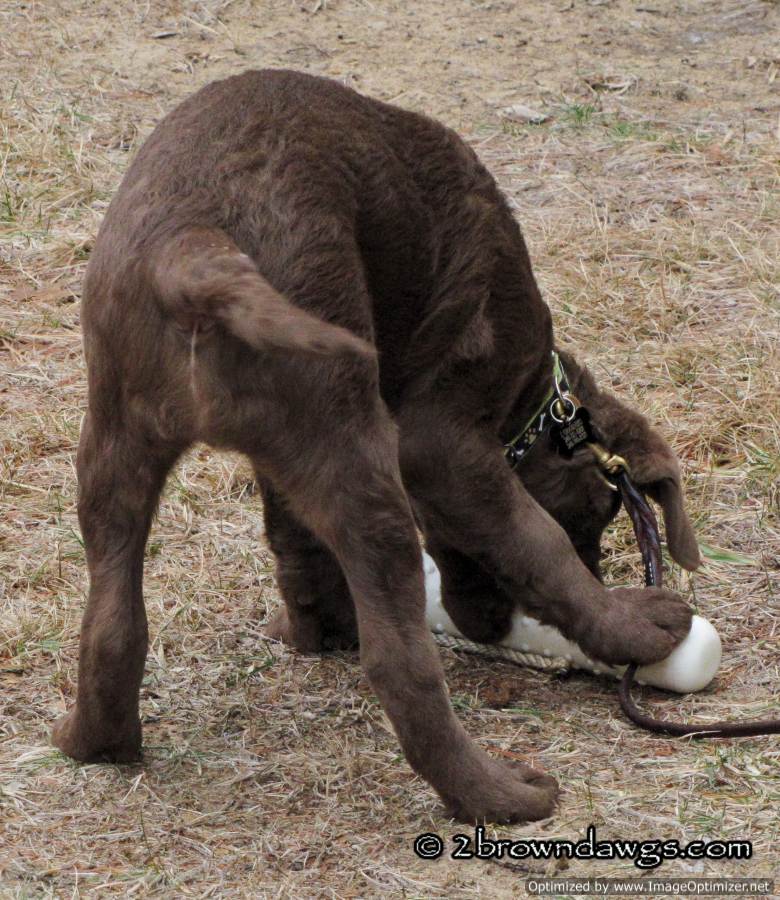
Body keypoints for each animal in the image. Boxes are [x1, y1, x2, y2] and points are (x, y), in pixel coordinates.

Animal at [52, 69, 699, 824]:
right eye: (594, 522)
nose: (490, 625)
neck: (527, 398)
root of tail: (193, 247)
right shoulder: (436, 444)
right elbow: (534, 542)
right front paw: (625, 621)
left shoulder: (285, 461)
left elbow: (294, 541)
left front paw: (314, 628)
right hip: (358, 456)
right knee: (401, 664)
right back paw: (501, 793)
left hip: (119, 437)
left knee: (112, 621)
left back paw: (95, 742)